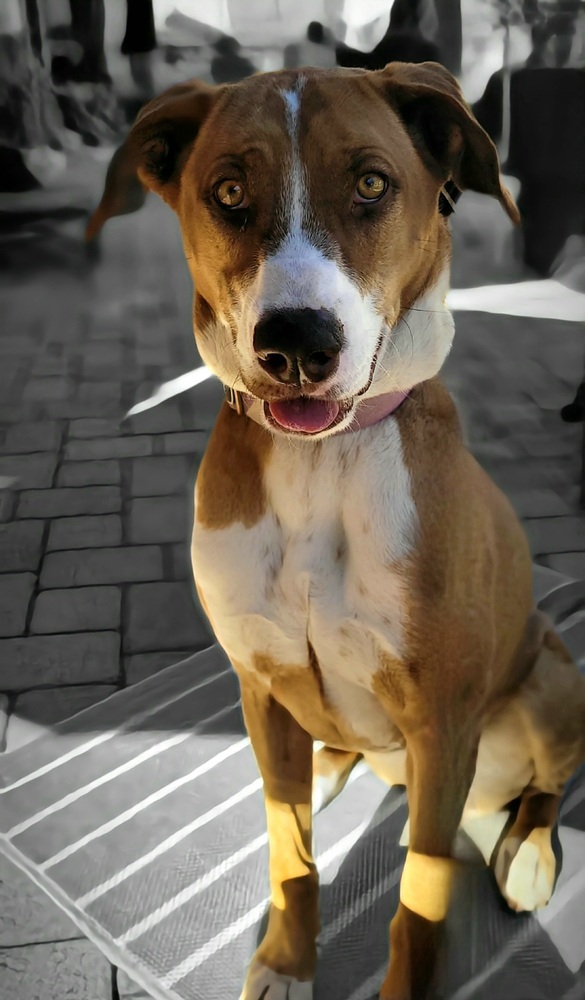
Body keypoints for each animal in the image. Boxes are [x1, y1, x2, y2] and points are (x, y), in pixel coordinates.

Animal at [88, 62, 584, 1000]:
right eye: (228, 192)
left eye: (371, 184)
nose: (294, 344)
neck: (321, 461)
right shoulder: (257, 673)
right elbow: (290, 852)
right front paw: (286, 960)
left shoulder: (441, 715)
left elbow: (417, 901)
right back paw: (323, 768)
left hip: (548, 687)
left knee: (547, 786)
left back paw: (529, 851)